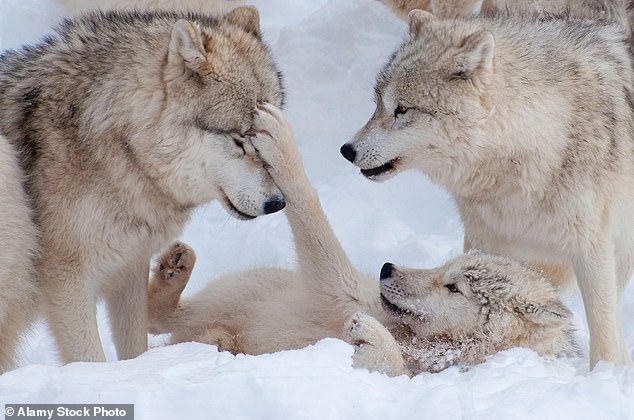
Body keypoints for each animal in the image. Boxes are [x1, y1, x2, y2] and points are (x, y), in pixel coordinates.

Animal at [0, 5, 284, 368]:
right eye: (241, 141)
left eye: (270, 137)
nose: (278, 203)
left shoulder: (129, 270)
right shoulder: (69, 284)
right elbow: (91, 360)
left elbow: (136, 351)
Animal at [147, 103, 572, 376]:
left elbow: (309, 207)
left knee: (166, 321)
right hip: (249, 286)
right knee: (164, 318)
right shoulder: (351, 295)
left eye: (453, 288)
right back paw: (174, 269)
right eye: (443, 266)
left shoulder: (342, 293)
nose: (386, 268)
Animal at [340, 9, 632, 368]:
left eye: (402, 110)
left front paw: (603, 372)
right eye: (378, 105)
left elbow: (604, 338)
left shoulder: (591, 249)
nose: (347, 150)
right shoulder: (485, 240)